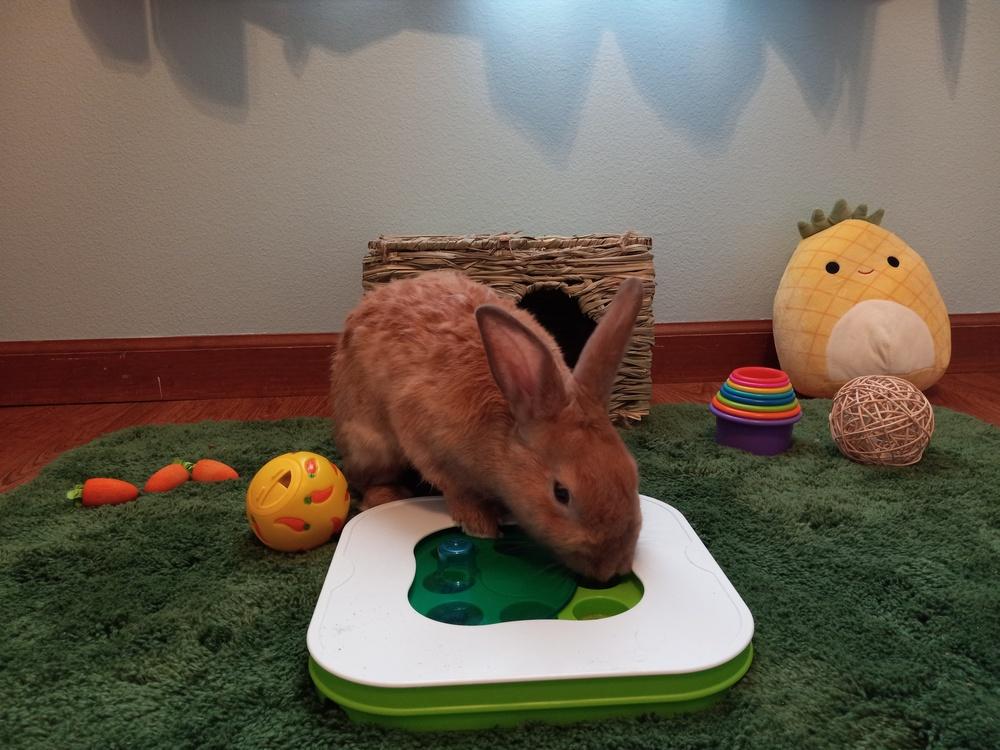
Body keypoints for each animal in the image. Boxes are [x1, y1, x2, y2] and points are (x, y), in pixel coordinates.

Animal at [331, 270, 644, 582]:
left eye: (632, 472)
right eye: (561, 493)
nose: (611, 569)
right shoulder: (427, 445)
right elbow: (457, 490)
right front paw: (481, 526)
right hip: (370, 444)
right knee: (368, 479)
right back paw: (388, 496)